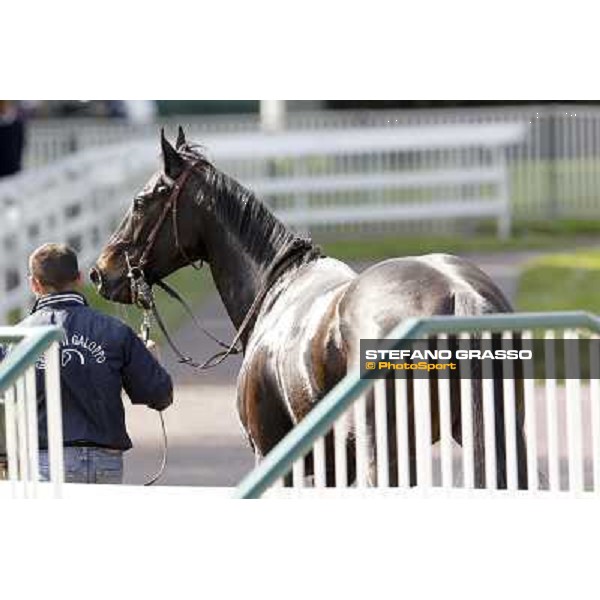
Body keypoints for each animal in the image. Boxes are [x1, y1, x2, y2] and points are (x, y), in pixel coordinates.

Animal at [91, 126, 528, 488]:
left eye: (141, 200)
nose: (100, 272)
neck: (276, 288)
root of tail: (458, 293)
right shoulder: (335, 465)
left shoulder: (271, 454)